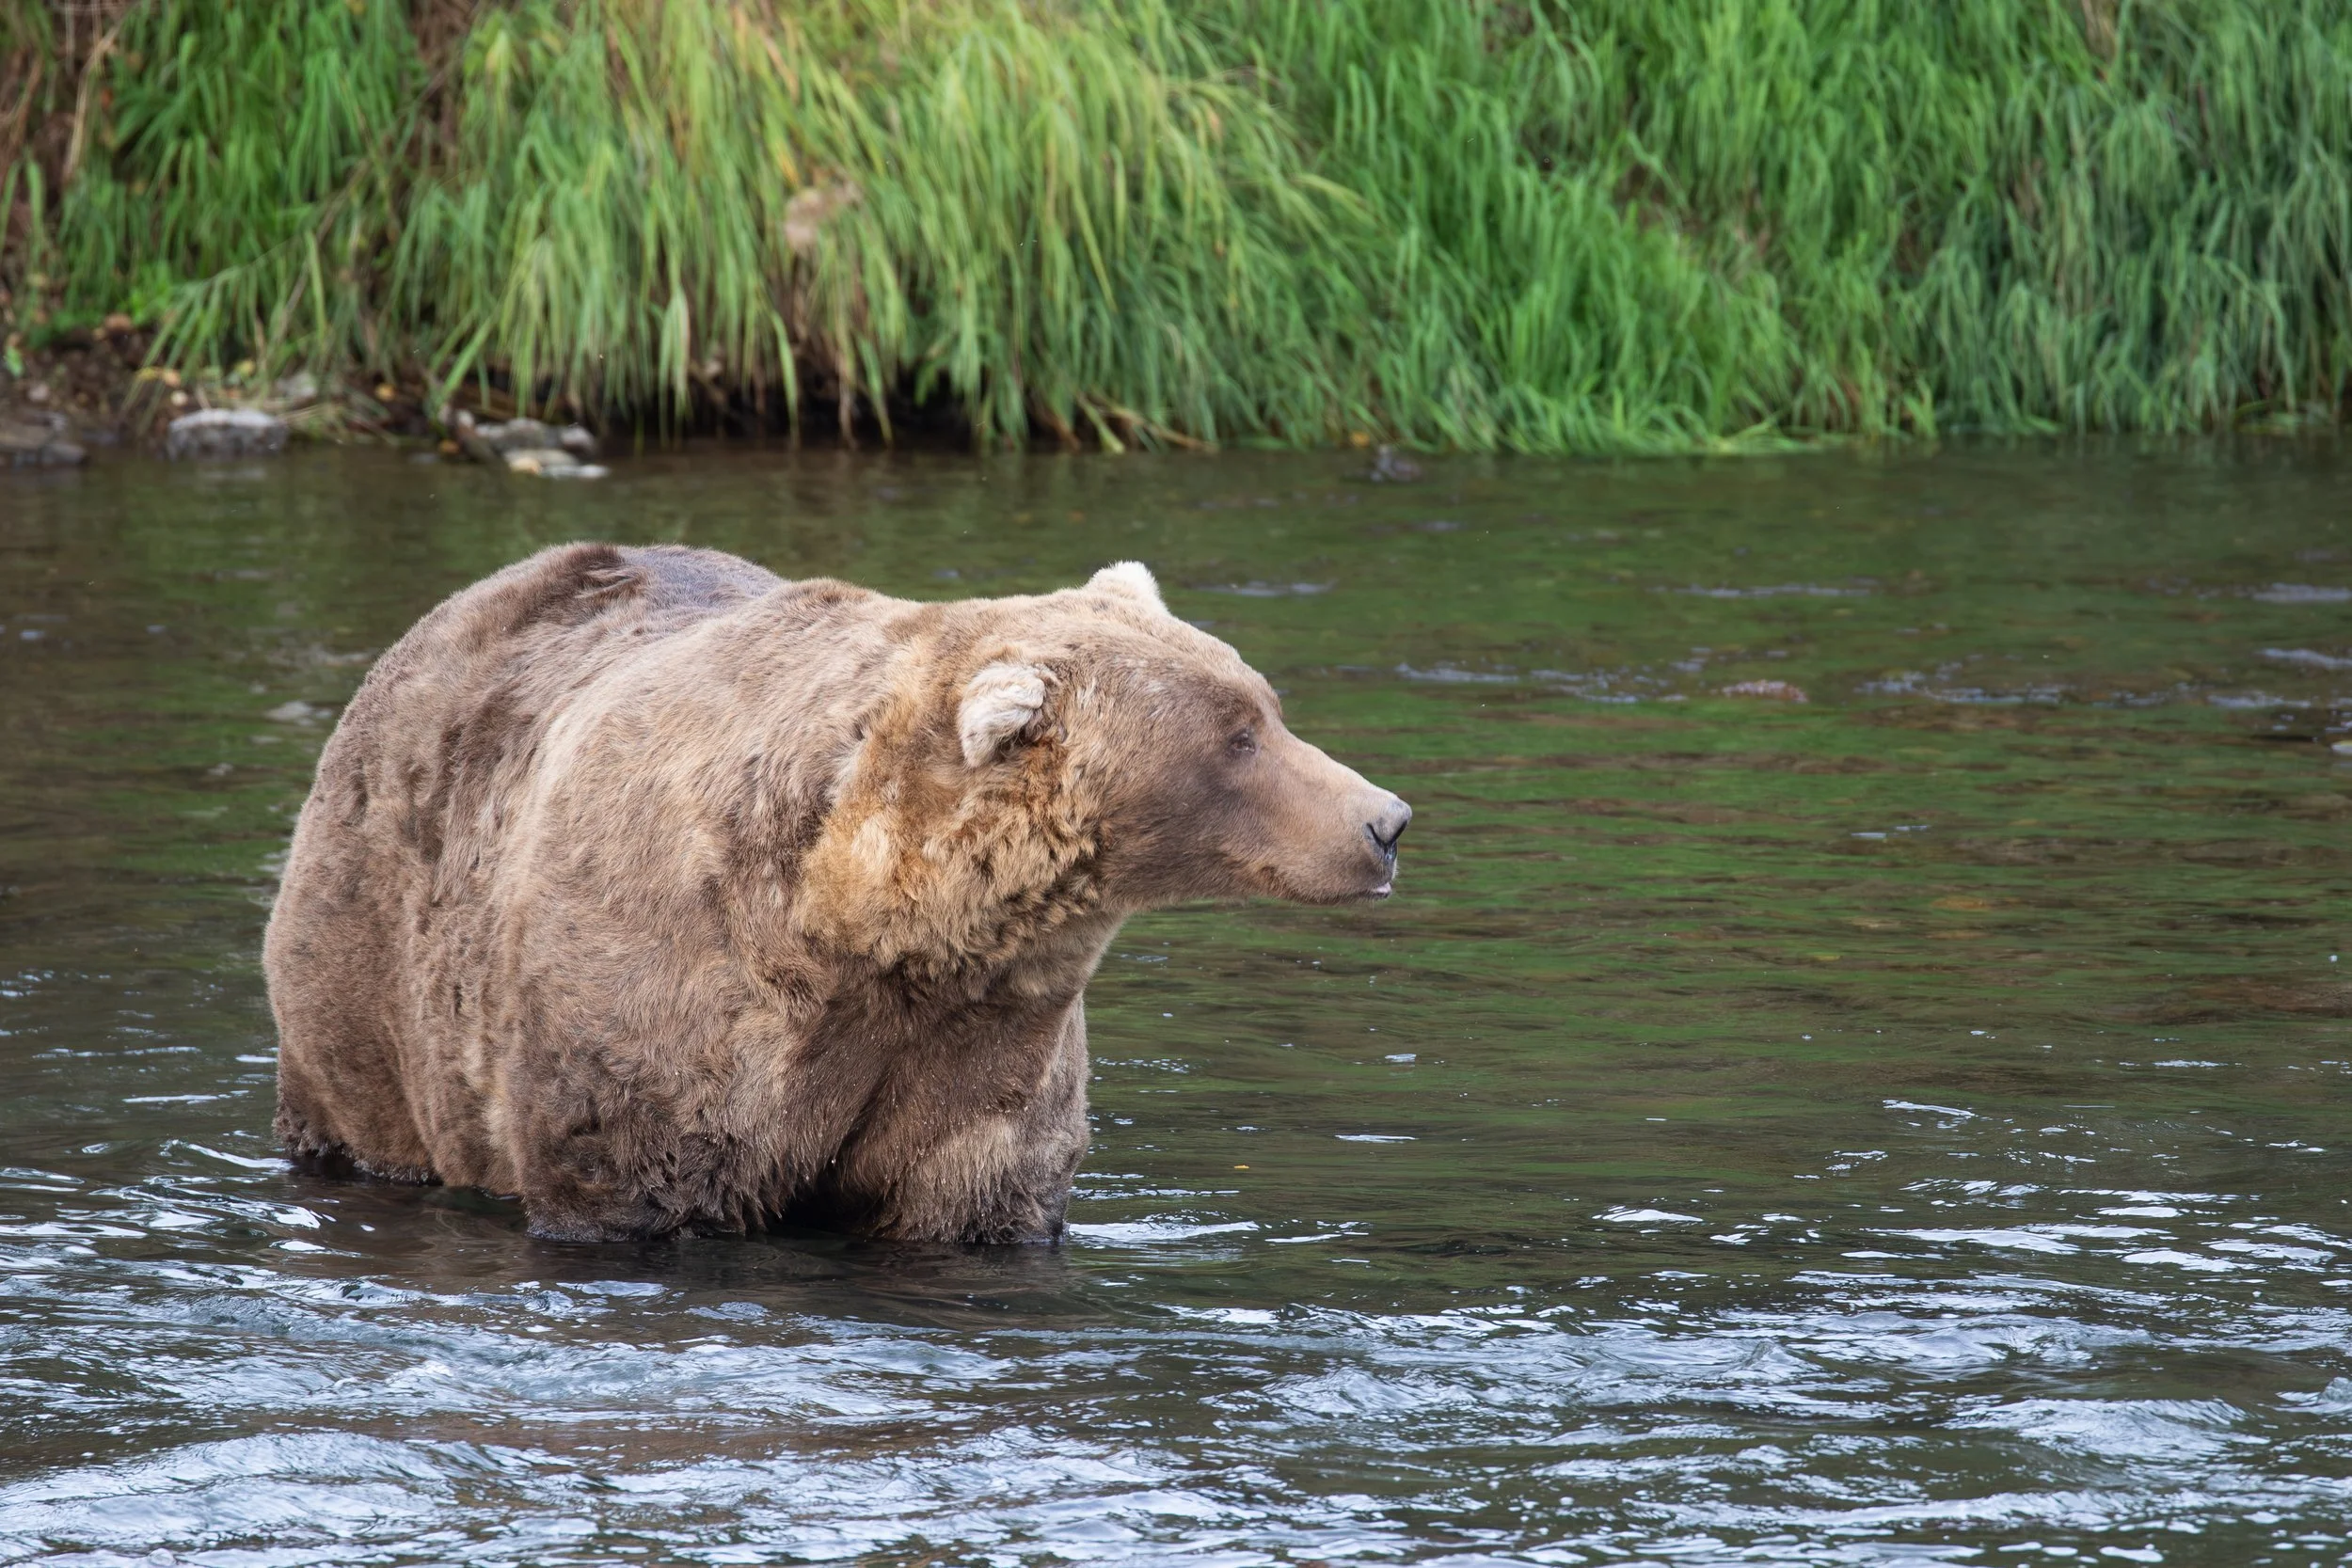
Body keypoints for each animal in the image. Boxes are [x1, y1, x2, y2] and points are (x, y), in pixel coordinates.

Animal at [263, 544, 1410, 1243]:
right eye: (1238, 736)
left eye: (1263, 705)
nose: (1385, 819)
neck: (866, 925)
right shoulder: (681, 995)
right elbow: (638, 1173)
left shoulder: (987, 1029)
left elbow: (976, 1184)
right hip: (367, 957)